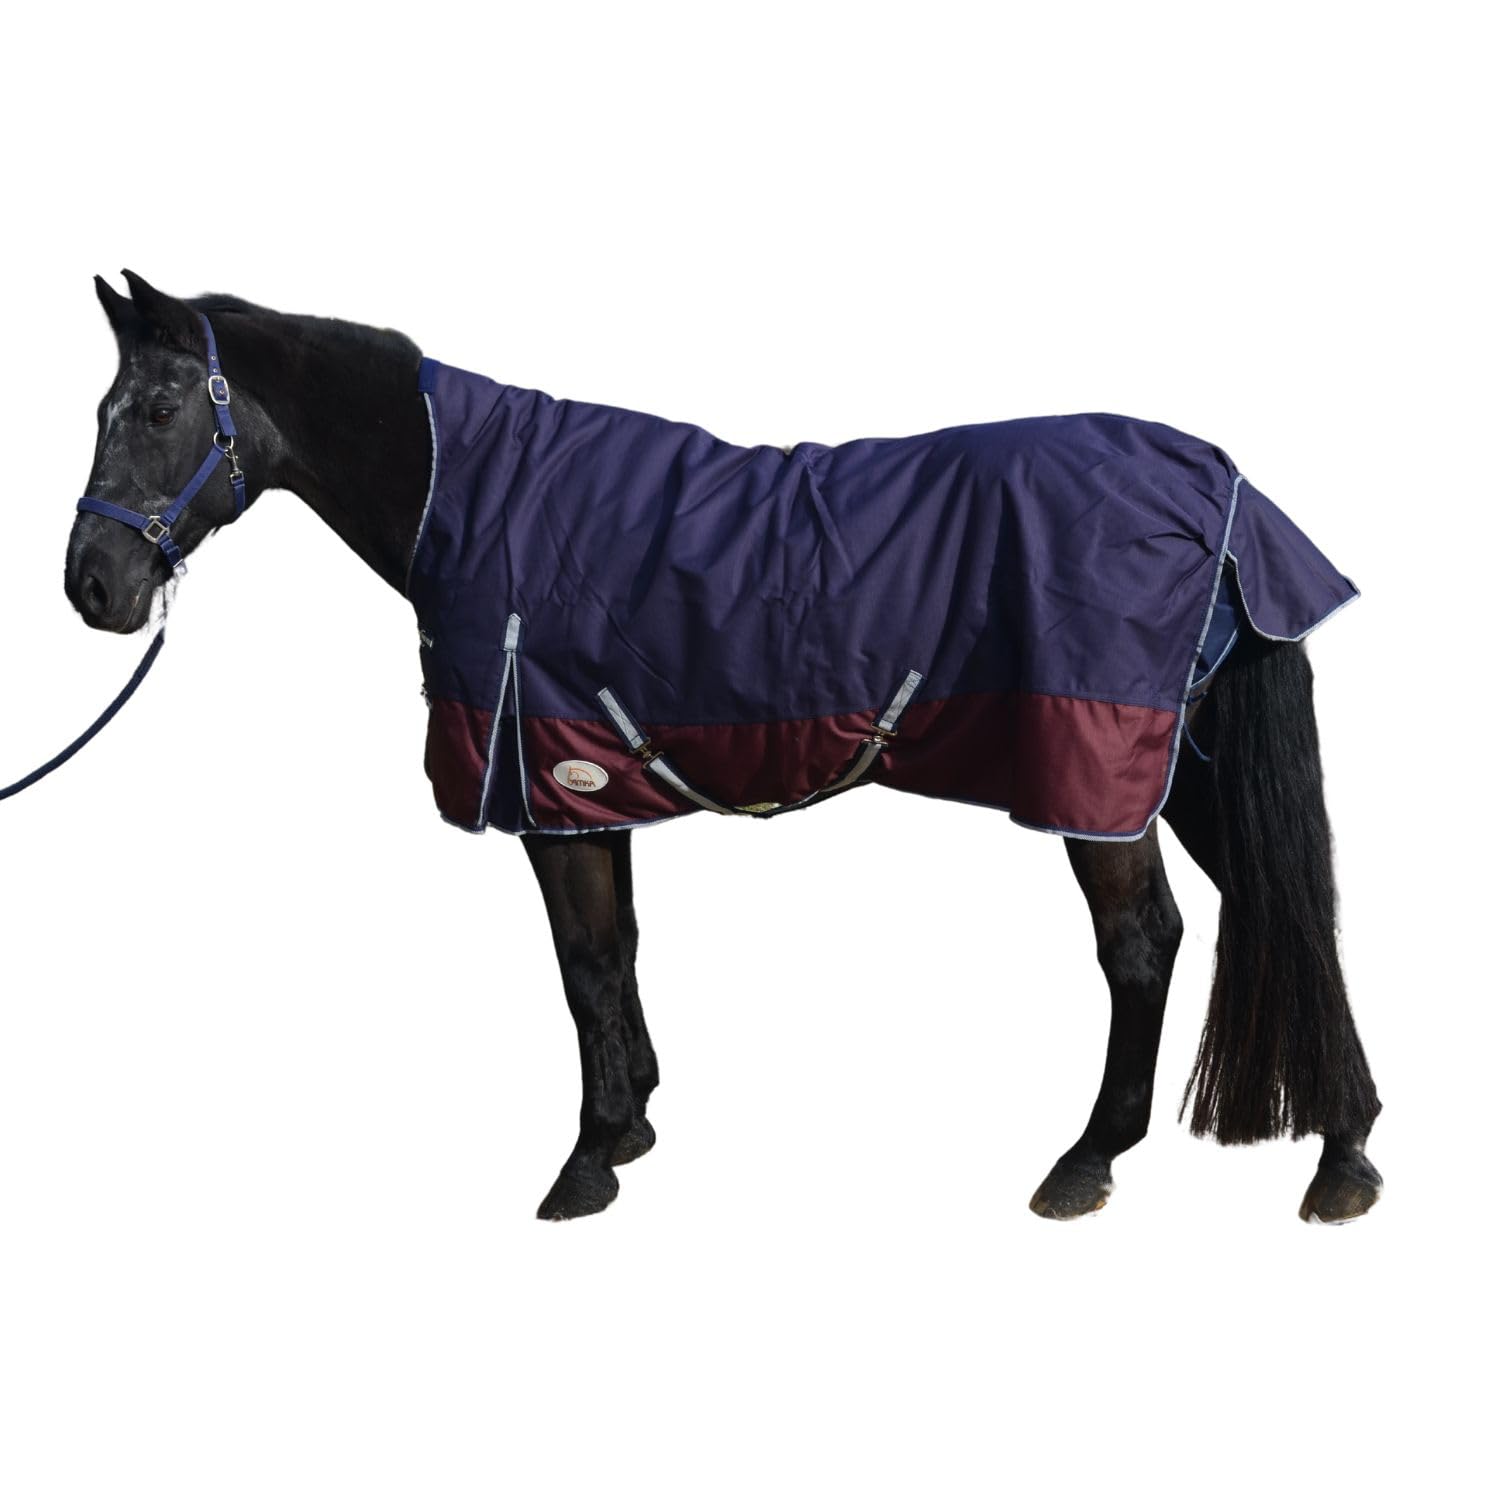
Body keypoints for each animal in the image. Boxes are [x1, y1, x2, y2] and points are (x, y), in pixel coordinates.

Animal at [61, 271, 1382, 1223]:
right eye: (101, 413)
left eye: (164, 409)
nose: (94, 586)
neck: (467, 497)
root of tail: (1218, 489)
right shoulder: (588, 783)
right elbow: (619, 957)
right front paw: (633, 1122)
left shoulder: (540, 786)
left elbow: (586, 965)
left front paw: (587, 1162)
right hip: (1182, 770)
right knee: (1283, 906)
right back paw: (1344, 1151)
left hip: (1100, 778)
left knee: (1142, 944)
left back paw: (1089, 1159)